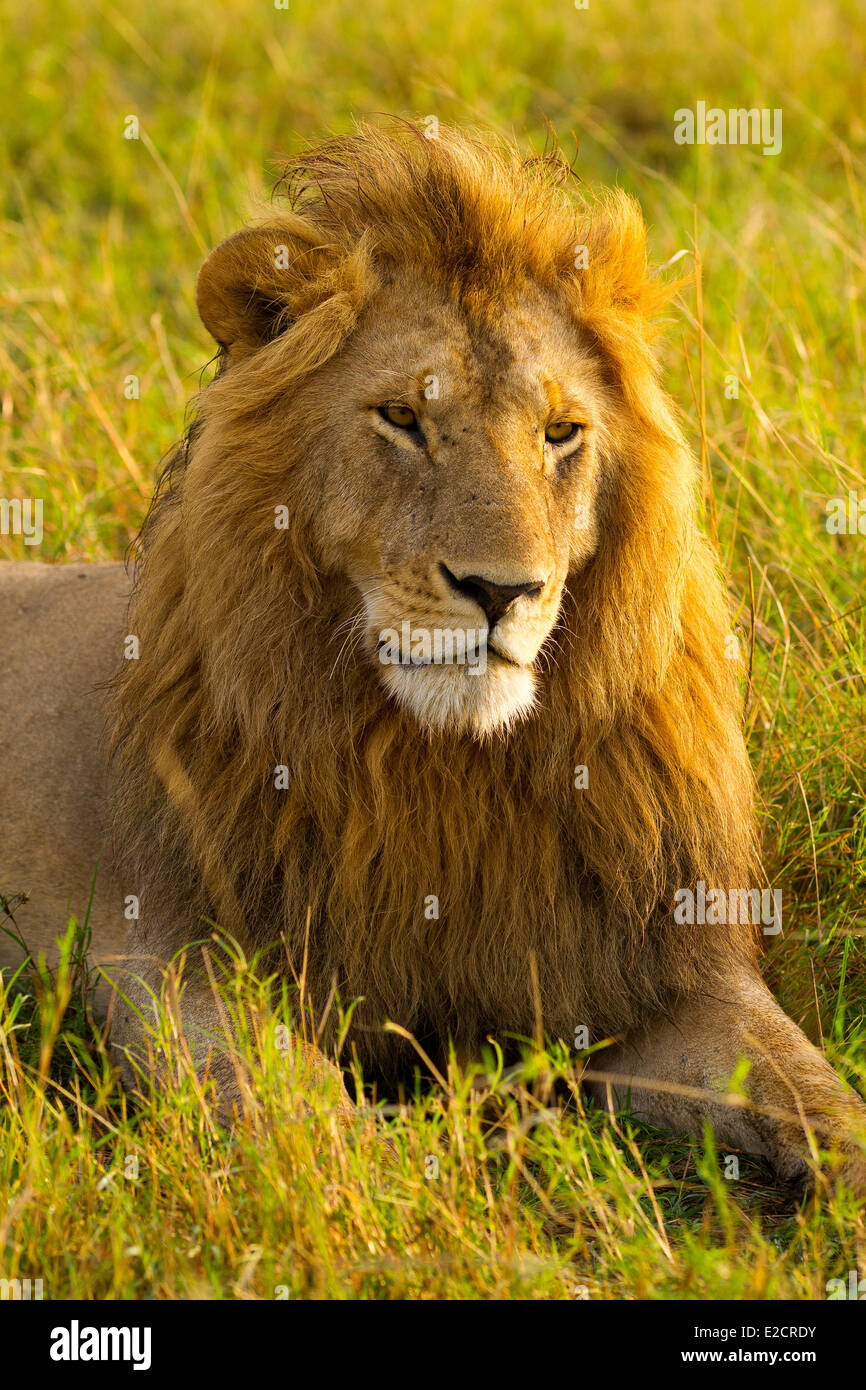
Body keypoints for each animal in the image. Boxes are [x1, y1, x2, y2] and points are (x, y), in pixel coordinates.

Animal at [1, 122, 864, 1189]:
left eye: (560, 432)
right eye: (403, 419)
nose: (502, 591)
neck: (440, 769)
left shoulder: (659, 971)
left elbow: (810, 1091)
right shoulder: (169, 950)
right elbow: (281, 1100)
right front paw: (372, 1188)